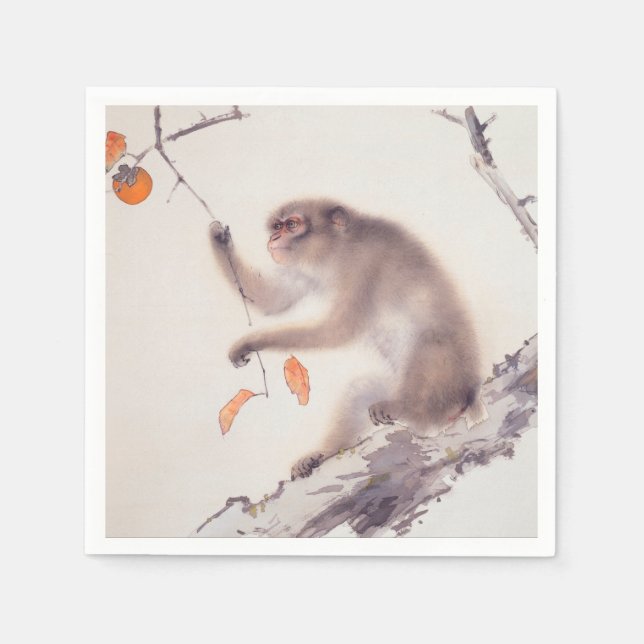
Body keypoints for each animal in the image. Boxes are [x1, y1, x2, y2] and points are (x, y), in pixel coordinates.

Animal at [210, 198, 487, 479]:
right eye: (277, 226)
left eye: (292, 225)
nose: (274, 238)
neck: (338, 251)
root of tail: (471, 393)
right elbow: (272, 299)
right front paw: (219, 239)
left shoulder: (364, 265)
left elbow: (338, 330)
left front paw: (252, 341)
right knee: (360, 390)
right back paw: (322, 454)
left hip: (450, 383)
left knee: (430, 344)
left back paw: (411, 410)